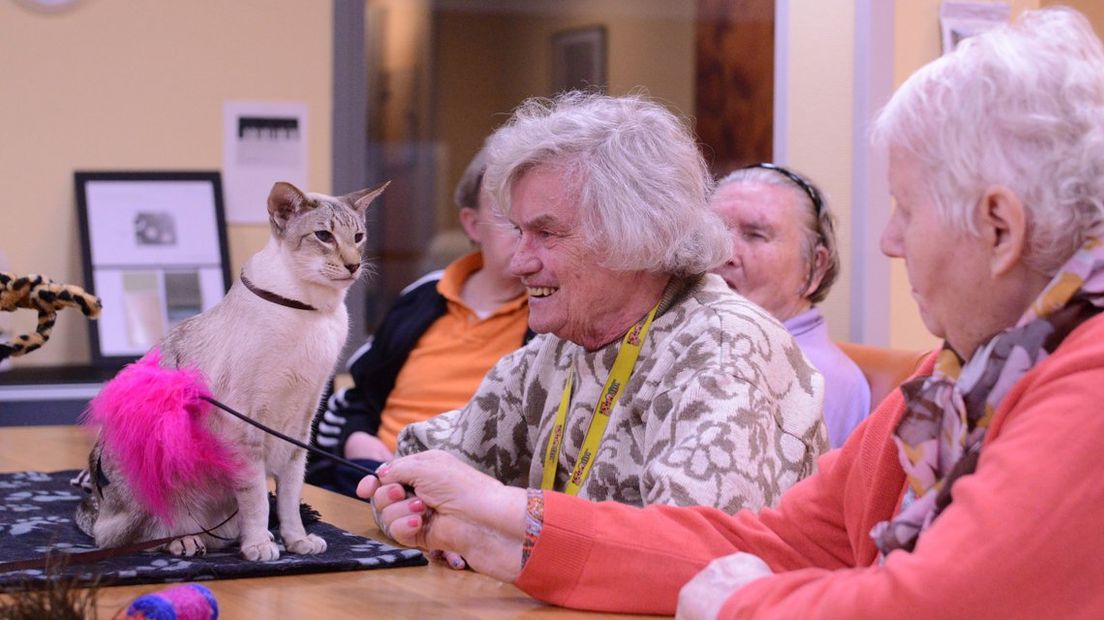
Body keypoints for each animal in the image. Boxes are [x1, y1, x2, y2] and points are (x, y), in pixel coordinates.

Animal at [74, 178, 388, 560]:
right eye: (324, 236)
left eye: (358, 237)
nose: (354, 265)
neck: (314, 310)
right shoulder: (246, 428)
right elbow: (258, 500)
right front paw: (258, 546)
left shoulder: (300, 428)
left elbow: (288, 498)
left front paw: (295, 541)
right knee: (129, 536)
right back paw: (185, 541)